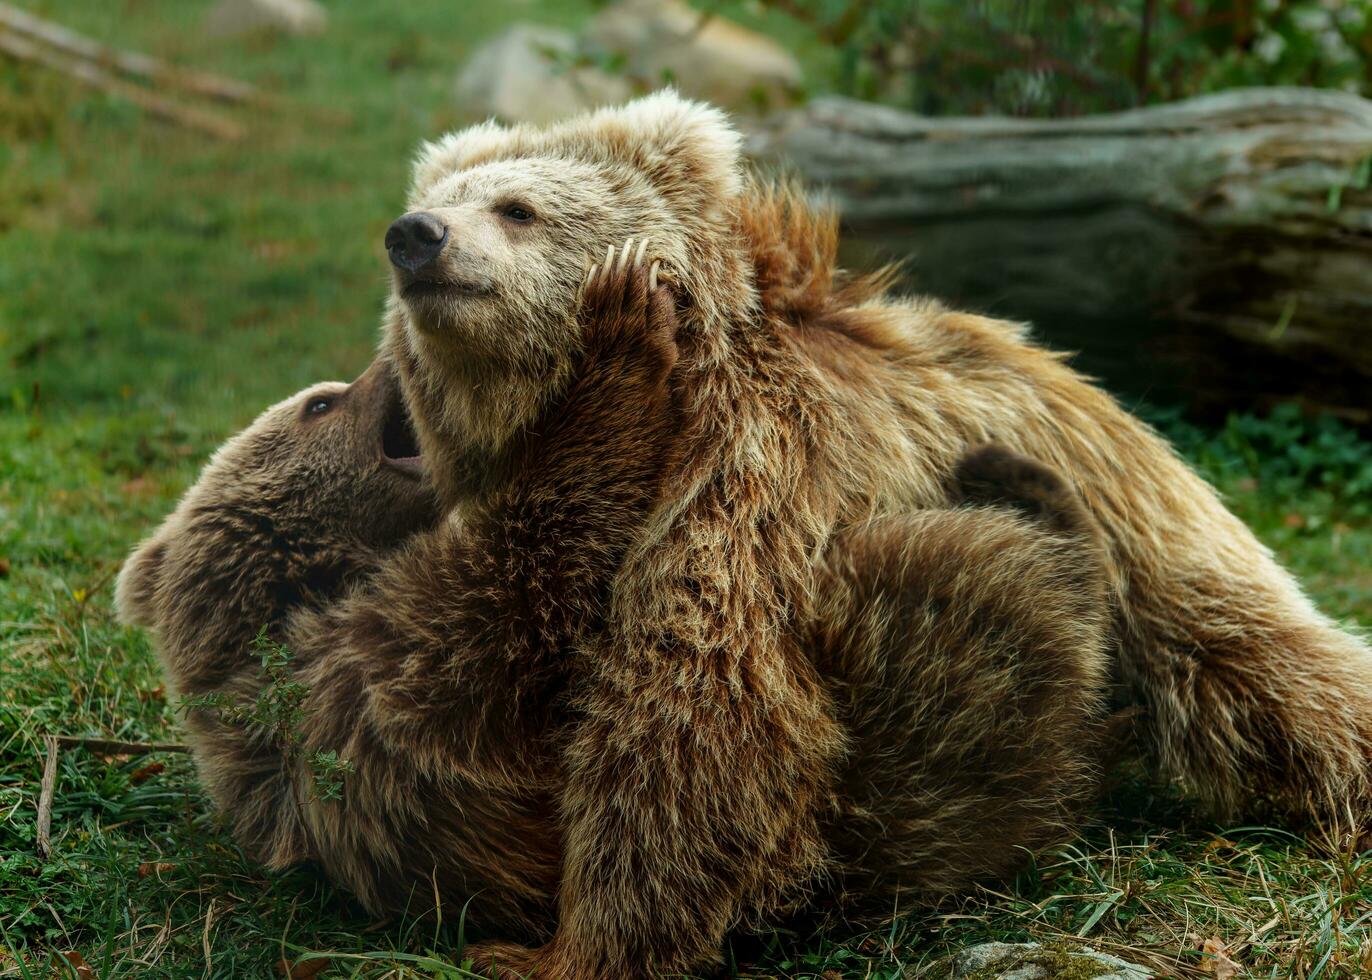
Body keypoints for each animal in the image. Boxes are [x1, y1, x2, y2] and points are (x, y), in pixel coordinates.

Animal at [120, 248, 1114, 966]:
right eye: (322, 403)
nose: (381, 359)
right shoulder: (394, 683)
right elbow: (544, 560)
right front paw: (625, 329)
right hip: (884, 720)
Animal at [362, 89, 1372, 971]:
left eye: (518, 207)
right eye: (440, 199)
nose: (415, 236)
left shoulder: (751, 468)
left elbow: (705, 705)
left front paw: (564, 948)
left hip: (1133, 520)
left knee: (1260, 657)